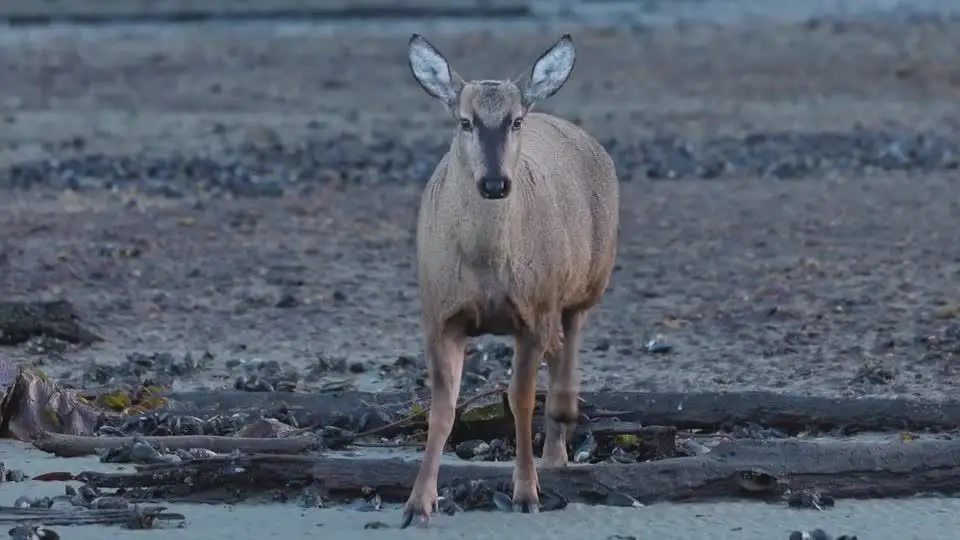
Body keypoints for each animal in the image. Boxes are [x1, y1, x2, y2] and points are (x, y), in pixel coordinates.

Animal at [400, 32, 620, 528]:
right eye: (465, 121)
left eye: (516, 120)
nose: (495, 183)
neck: (487, 267)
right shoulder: (439, 316)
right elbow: (441, 410)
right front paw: (418, 502)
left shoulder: (533, 313)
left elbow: (521, 400)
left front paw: (526, 492)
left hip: (588, 280)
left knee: (567, 350)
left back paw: (557, 448)